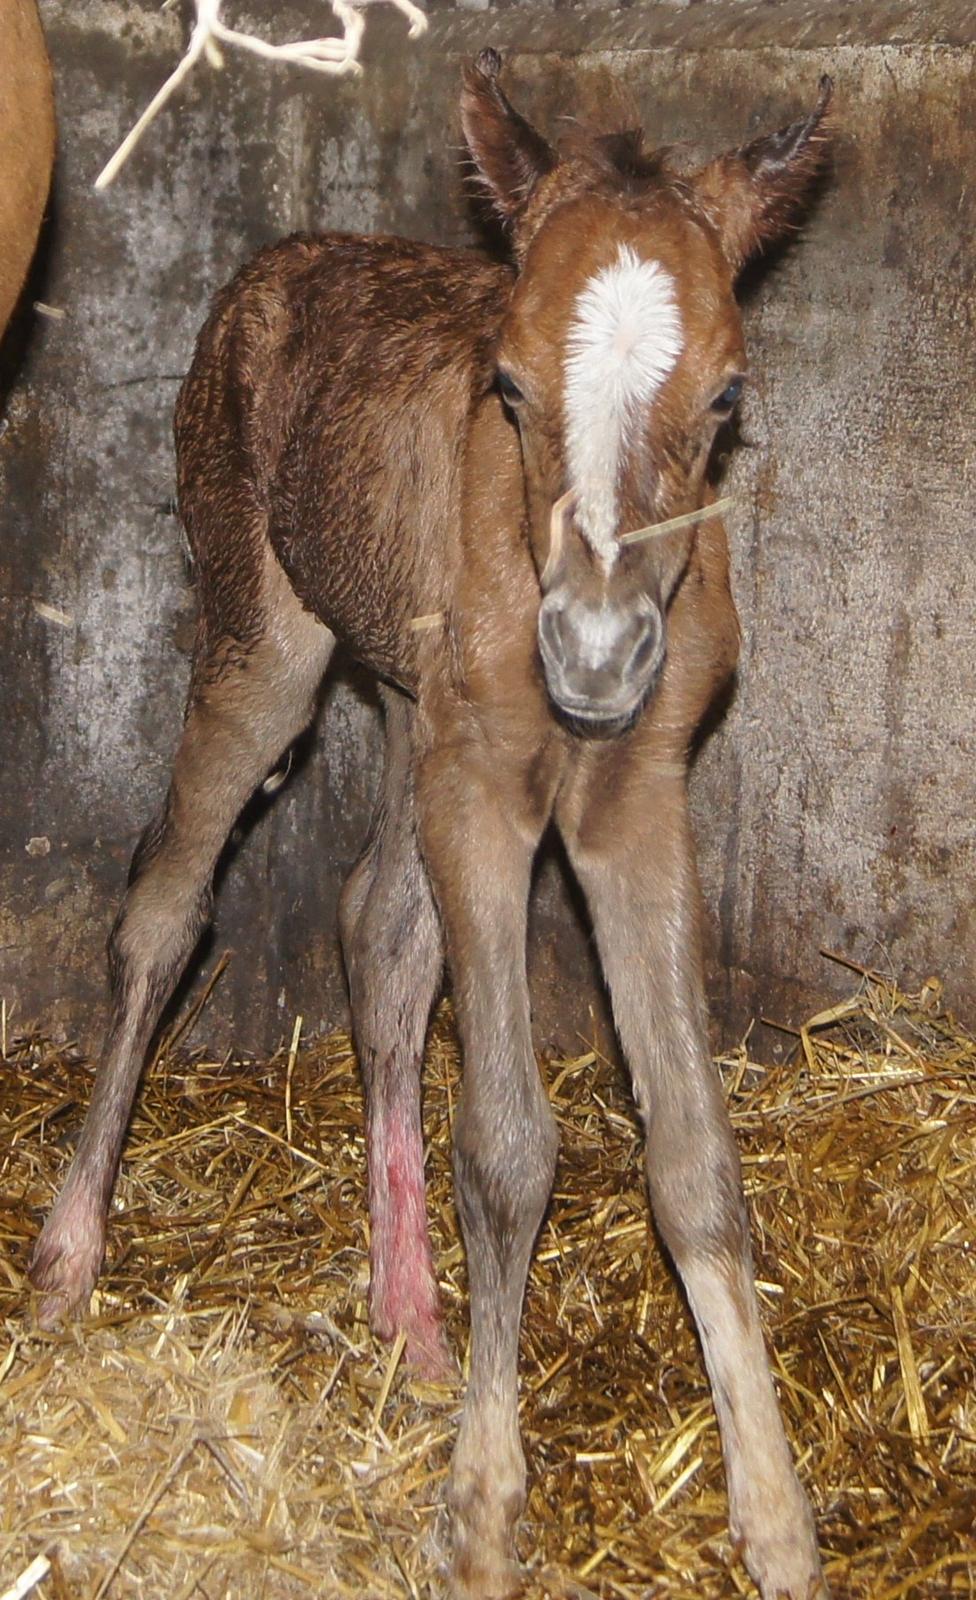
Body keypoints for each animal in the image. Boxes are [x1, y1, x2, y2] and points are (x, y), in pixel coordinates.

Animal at [34, 50, 832, 1600]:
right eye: (505, 383)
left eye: (727, 395)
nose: (593, 652)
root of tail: (278, 261)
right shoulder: (484, 784)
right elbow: (510, 1146)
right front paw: (480, 1515)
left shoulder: (634, 794)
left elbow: (697, 1158)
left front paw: (777, 1521)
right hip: (268, 641)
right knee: (163, 909)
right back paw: (67, 1254)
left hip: (406, 699)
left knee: (379, 931)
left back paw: (408, 1314)